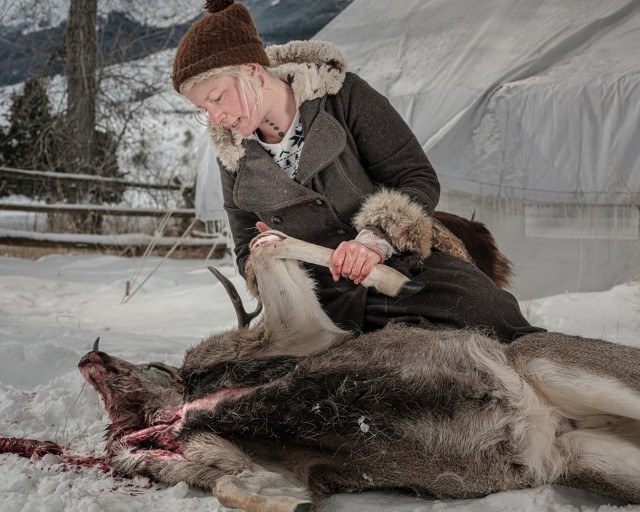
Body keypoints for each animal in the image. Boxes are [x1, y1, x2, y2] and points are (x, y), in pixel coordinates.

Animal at [79, 231, 640, 512]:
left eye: (155, 364)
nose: (90, 356)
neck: (184, 414)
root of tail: (552, 424)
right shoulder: (288, 474)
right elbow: (232, 488)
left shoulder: (303, 334)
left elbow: (269, 247)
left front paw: (389, 276)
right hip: (589, 458)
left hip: (555, 363)